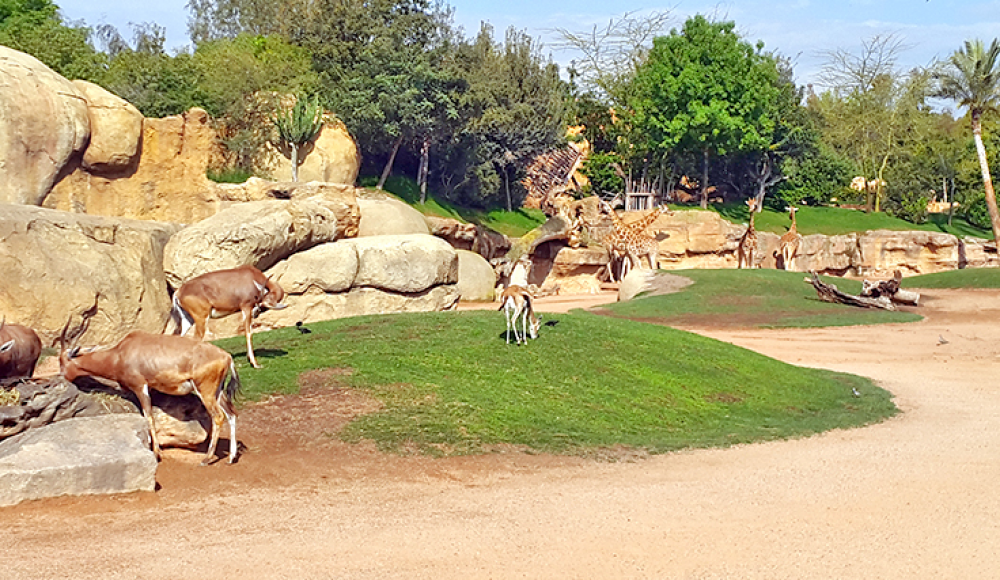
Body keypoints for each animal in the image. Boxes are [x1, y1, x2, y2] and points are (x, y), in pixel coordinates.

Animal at [61, 314, 243, 464]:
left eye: (62, 362)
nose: (63, 378)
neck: (121, 352)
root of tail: (226, 356)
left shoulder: (140, 387)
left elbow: (149, 416)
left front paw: (156, 453)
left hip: (205, 392)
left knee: (218, 416)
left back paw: (207, 458)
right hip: (218, 393)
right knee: (232, 414)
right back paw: (231, 458)